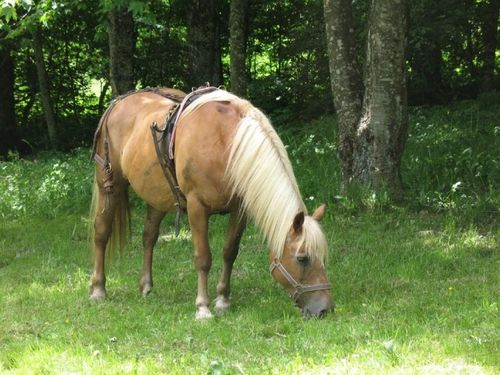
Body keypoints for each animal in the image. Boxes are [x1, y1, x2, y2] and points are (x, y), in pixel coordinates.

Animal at [89, 86, 334, 318]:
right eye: (302, 258)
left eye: (323, 256)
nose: (324, 309)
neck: (226, 143)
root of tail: (119, 102)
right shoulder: (197, 208)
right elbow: (203, 258)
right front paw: (203, 308)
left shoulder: (239, 209)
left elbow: (229, 252)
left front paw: (223, 300)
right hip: (110, 187)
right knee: (101, 233)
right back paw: (98, 289)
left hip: (157, 195)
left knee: (149, 236)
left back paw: (146, 286)